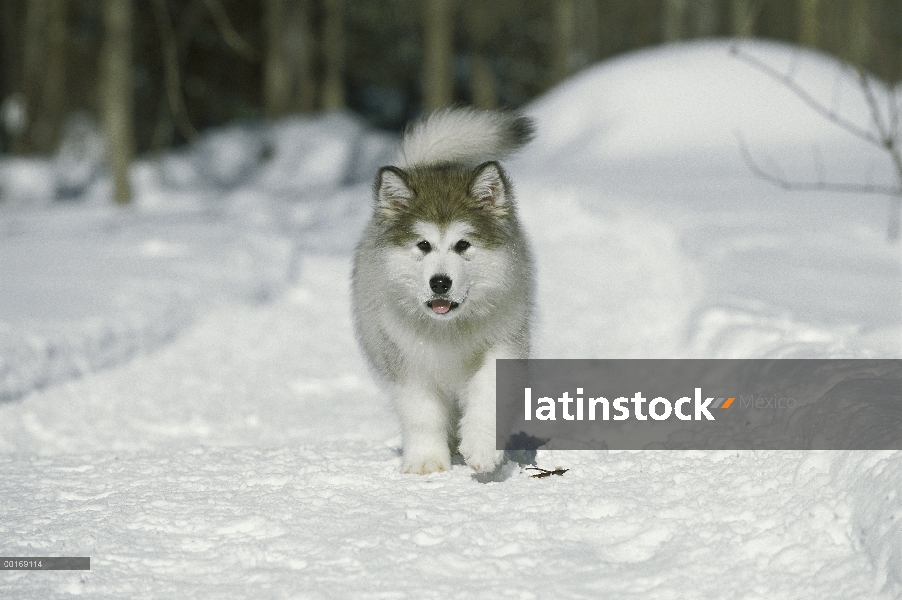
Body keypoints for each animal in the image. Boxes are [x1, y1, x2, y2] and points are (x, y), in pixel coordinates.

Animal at [352, 106, 536, 474]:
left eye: (462, 244)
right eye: (423, 245)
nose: (440, 282)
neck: (448, 330)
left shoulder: (503, 343)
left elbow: (488, 395)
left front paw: (482, 448)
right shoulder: (405, 359)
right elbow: (421, 413)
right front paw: (426, 460)